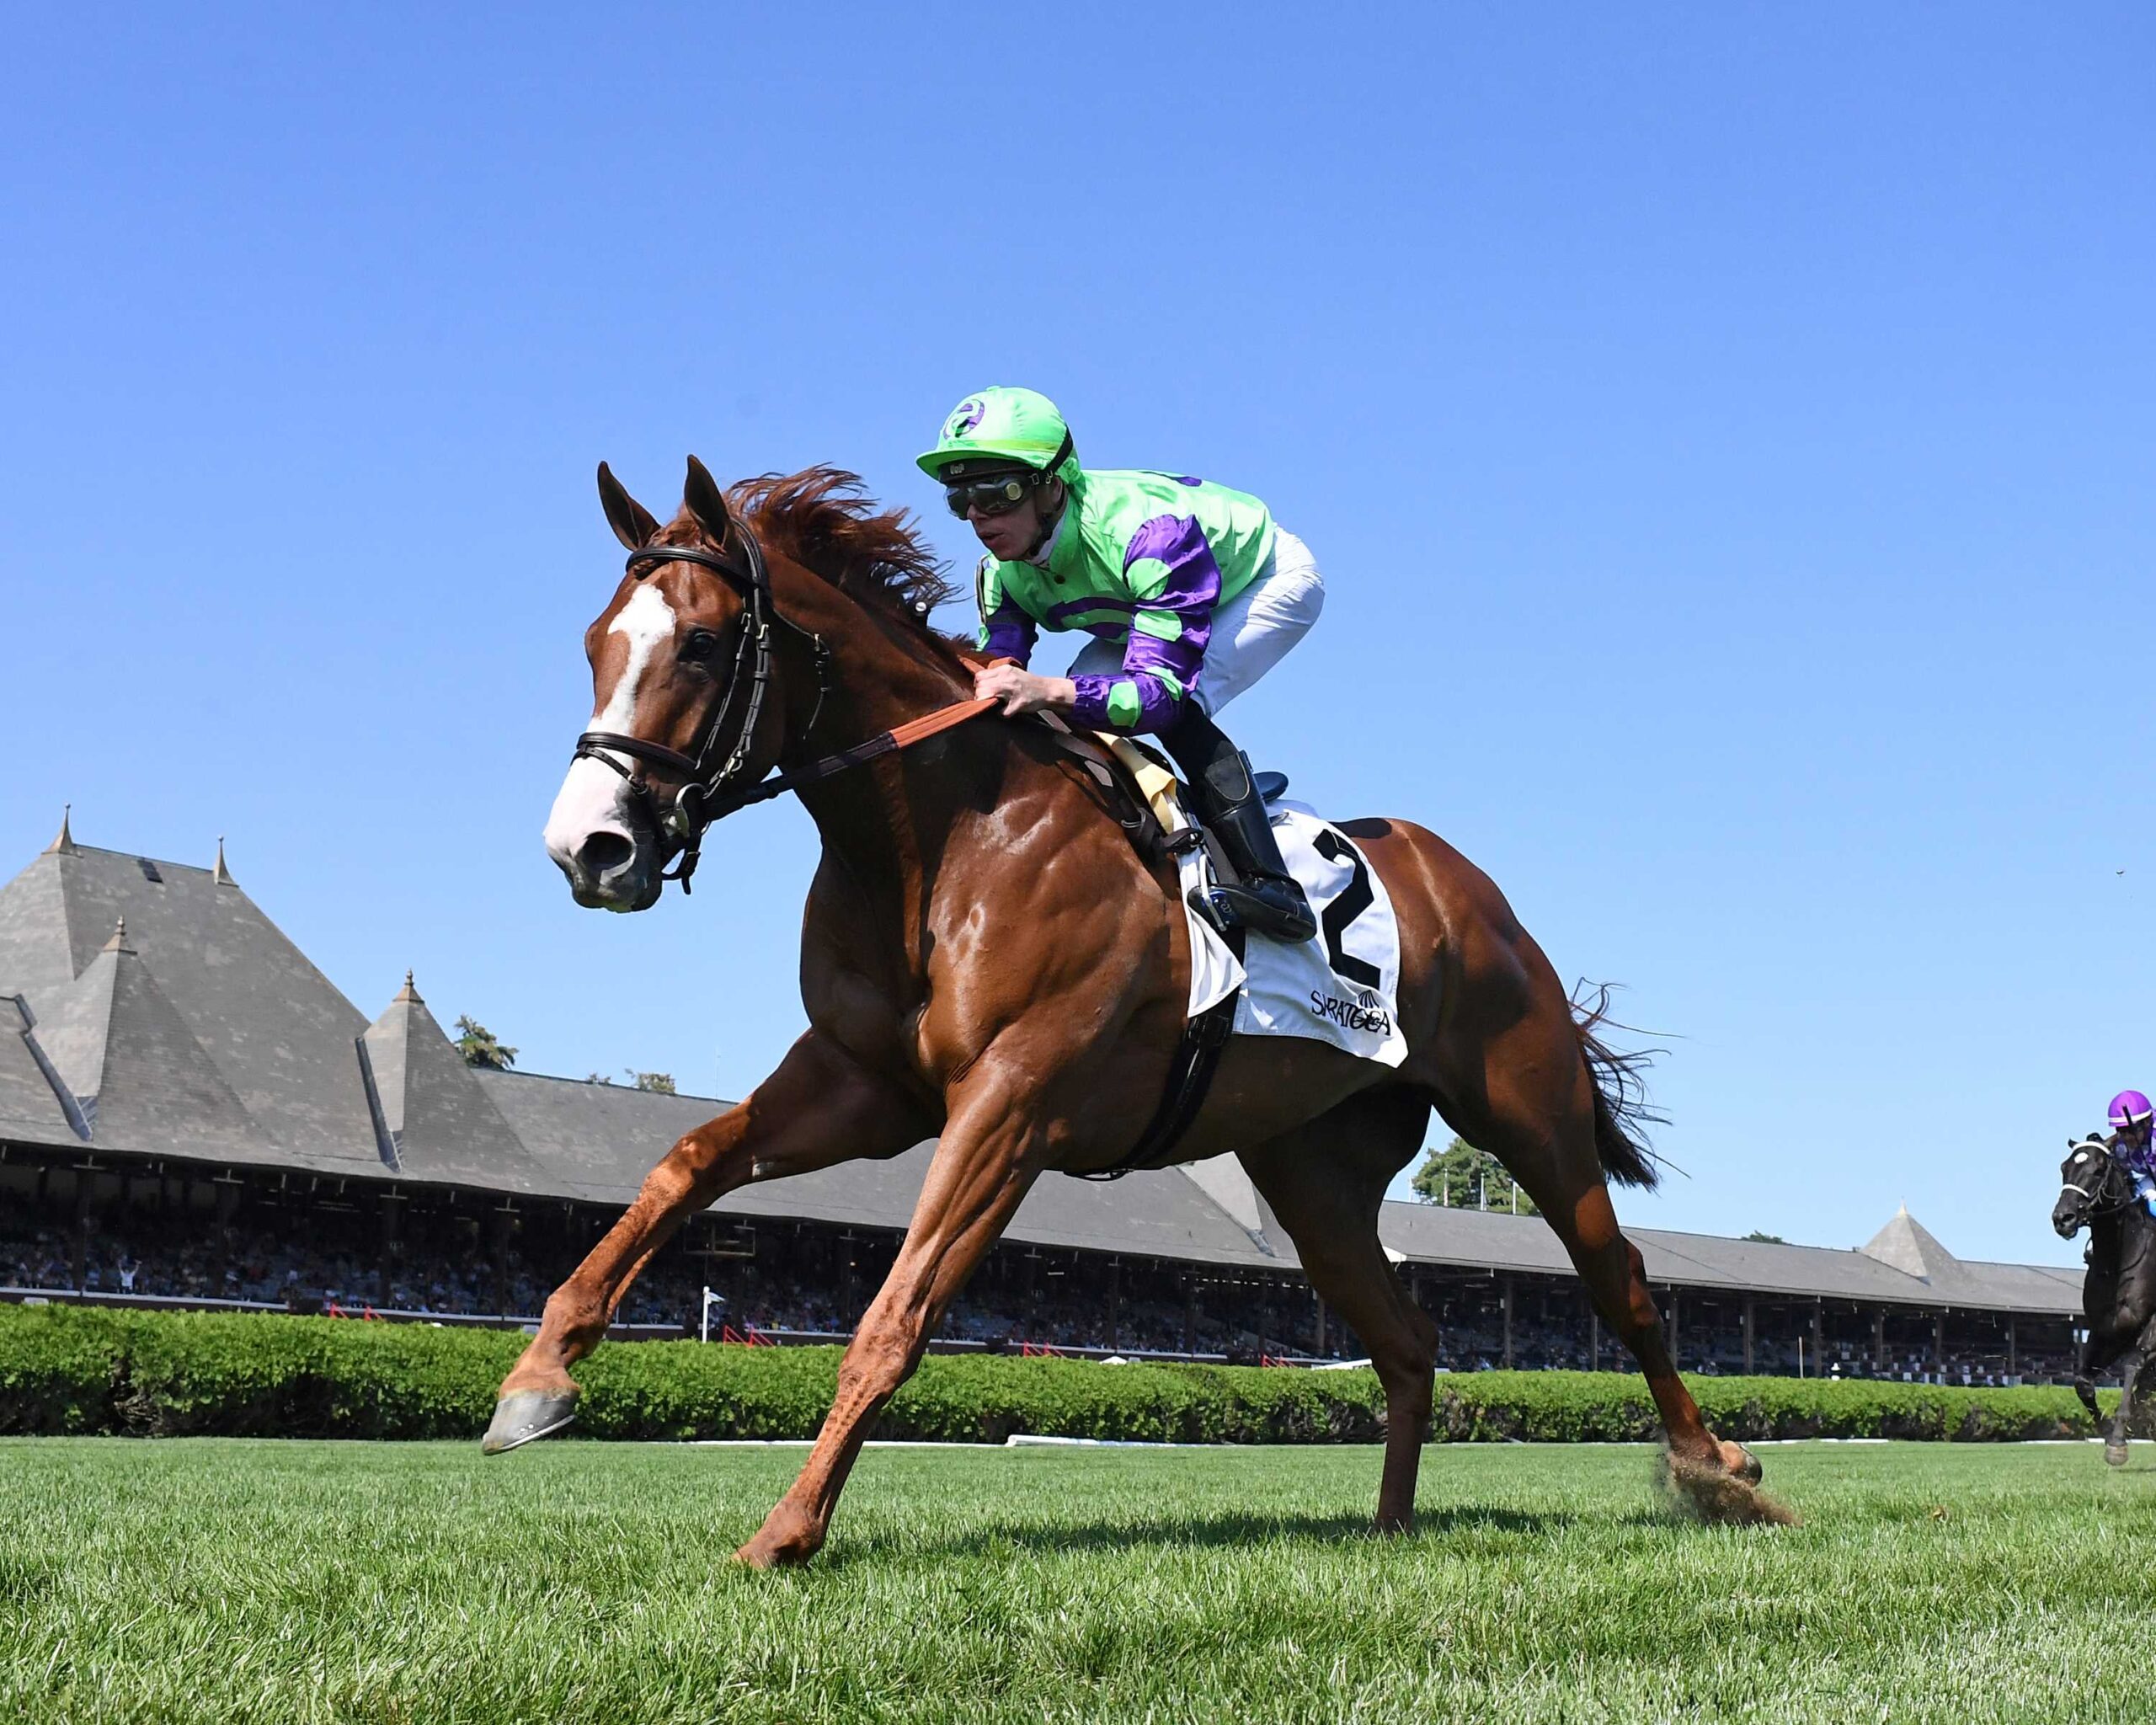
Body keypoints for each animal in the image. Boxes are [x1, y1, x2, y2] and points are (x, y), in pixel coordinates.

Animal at [485, 457, 1791, 1564]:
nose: (588, 848)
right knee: (1408, 1340)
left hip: (1528, 1108)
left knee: (1620, 1282)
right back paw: (1388, 1527)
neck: (941, 839)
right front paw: (539, 1377)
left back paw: (1722, 1473)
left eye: (704, 644)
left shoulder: (1011, 1106)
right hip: (1312, 1171)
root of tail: (1469, 887)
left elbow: (895, 1316)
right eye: (597, 642)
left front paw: (786, 1532)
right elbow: (685, 1162)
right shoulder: (863, 1084)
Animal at [2053, 1136, 2156, 1466]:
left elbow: (2133, 1368)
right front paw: (2109, 1431)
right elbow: (2083, 1382)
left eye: (2098, 1170)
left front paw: (2118, 1441)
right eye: (2064, 1168)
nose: (2063, 1218)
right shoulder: (2106, 1331)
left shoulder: (2150, 1328)